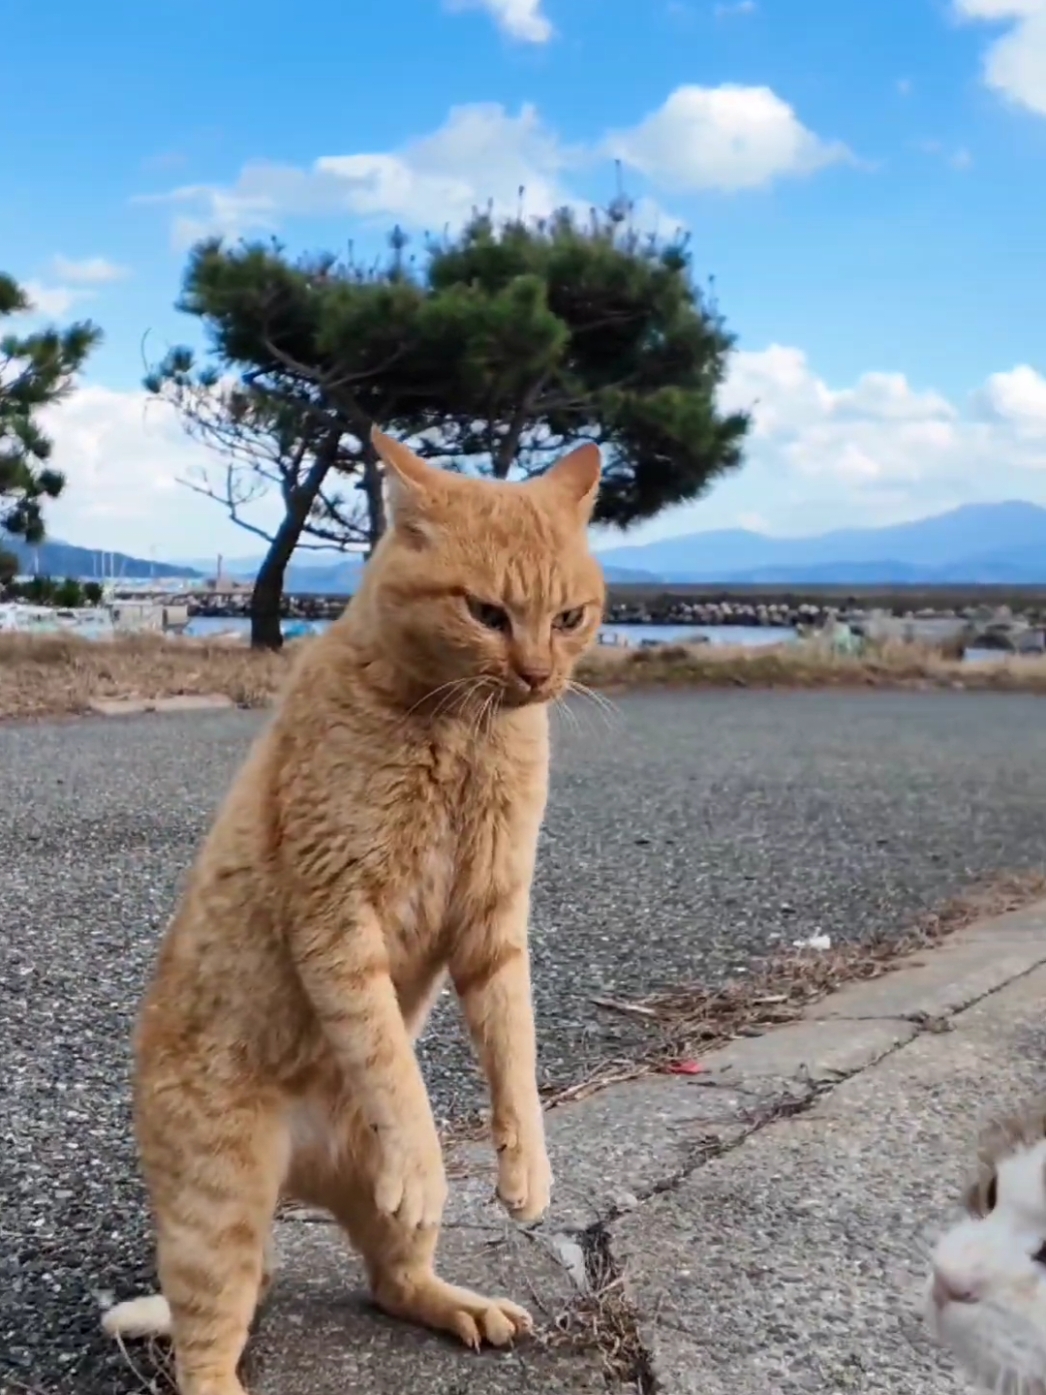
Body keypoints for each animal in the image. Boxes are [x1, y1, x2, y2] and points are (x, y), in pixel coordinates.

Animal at [102, 424, 605, 1395]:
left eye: (569, 618)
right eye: (487, 612)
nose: (537, 675)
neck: (463, 728)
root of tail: (295, 1180)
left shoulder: (493, 923)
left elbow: (515, 1049)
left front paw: (525, 1163)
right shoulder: (337, 915)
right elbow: (386, 1061)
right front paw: (425, 1151)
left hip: (366, 1211)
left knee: (392, 1278)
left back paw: (463, 1304)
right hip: (216, 1211)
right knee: (205, 1346)